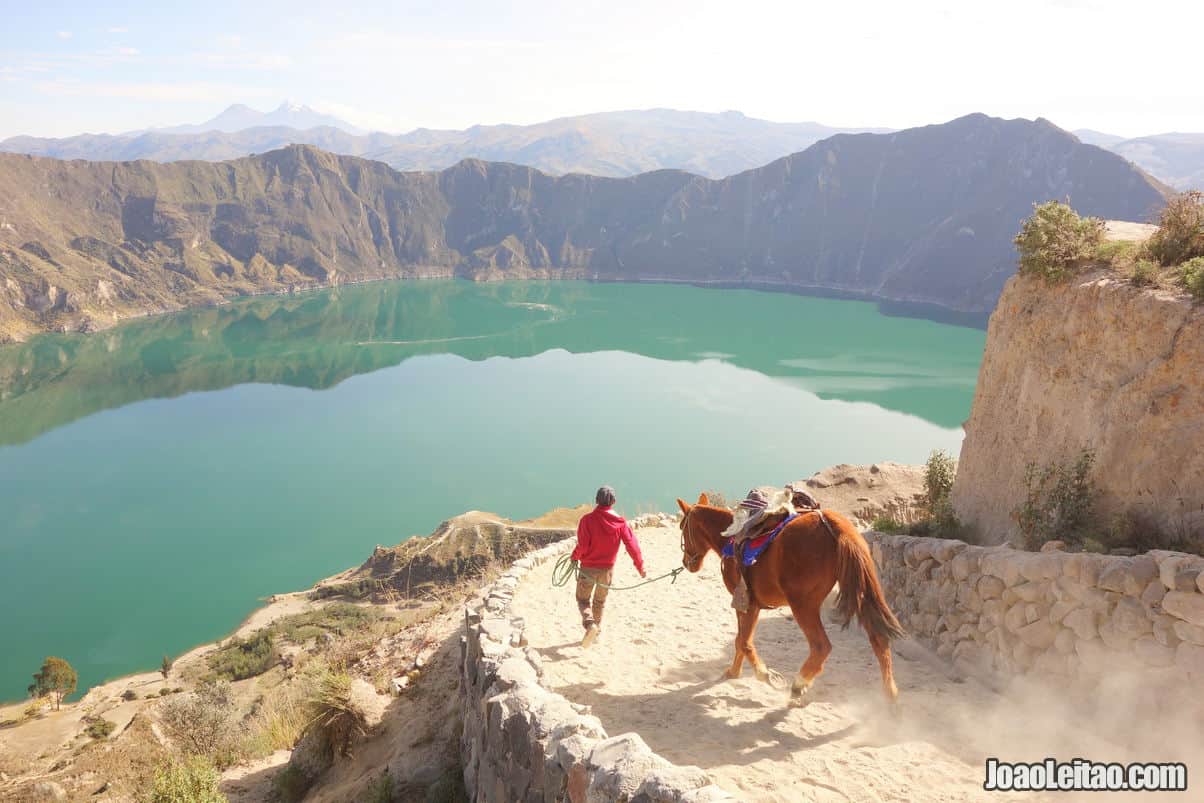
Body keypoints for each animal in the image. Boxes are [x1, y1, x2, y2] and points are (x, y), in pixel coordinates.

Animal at [679, 493, 905, 707]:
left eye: (682, 528)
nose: (687, 562)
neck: (731, 539)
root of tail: (834, 524)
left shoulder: (745, 604)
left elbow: (743, 641)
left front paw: (765, 675)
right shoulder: (752, 606)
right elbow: (740, 640)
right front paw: (734, 672)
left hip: (803, 605)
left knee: (821, 647)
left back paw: (798, 685)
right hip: (861, 592)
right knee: (879, 640)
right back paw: (891, 699)